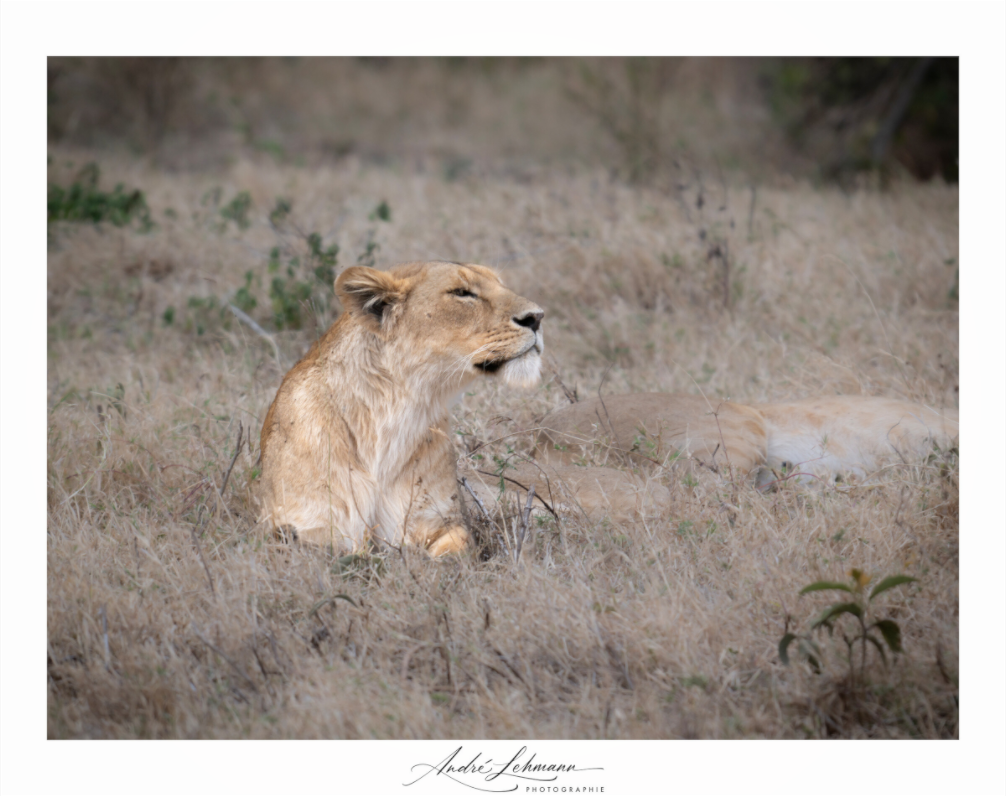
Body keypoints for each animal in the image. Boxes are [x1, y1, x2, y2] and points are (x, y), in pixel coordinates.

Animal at [259, 261, 544, 555]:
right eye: (462, 293)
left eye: (500, 284)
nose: (537, 317)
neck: (397, 411)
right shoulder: (301, 527)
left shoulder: (442, 520)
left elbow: (455, 551)